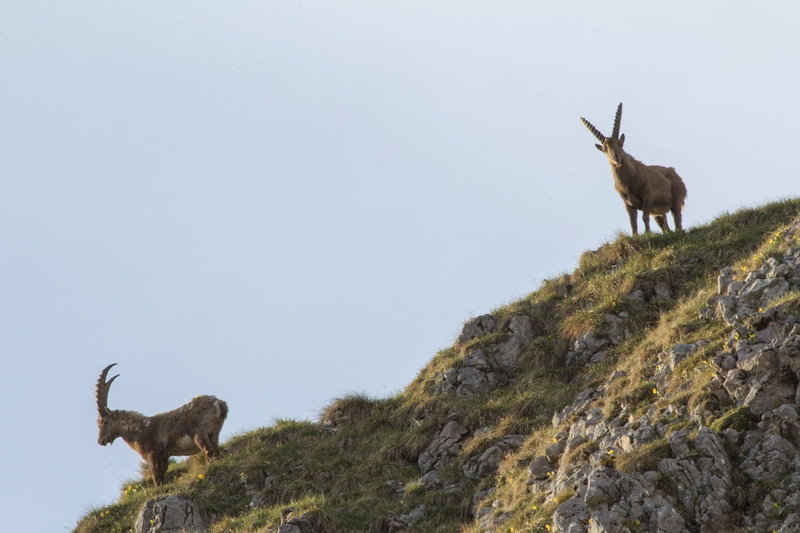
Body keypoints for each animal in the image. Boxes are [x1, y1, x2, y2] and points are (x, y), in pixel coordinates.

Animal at [95, 363, 228, 484]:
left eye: (105, 422)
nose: (100, 441)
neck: (138, 430)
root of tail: (219, 403)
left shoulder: (153, 454)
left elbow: (155, 476)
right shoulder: (164, 456)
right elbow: (162, 474)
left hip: (198, 433)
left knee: (209, 451)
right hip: (214, 433)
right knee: (215, 450)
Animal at [580, 103, 687, 234]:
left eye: (619, 144)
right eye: (605, 149)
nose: (616, 157)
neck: (629, 182)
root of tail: (676, 174)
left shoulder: (647, 197)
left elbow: (644, 217)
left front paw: (648, 234)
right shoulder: (628, 203)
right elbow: (632, 222)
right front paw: (636, 235)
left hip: (676, 200)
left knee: (677, 219)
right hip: (658, 212)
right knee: (665, 226)